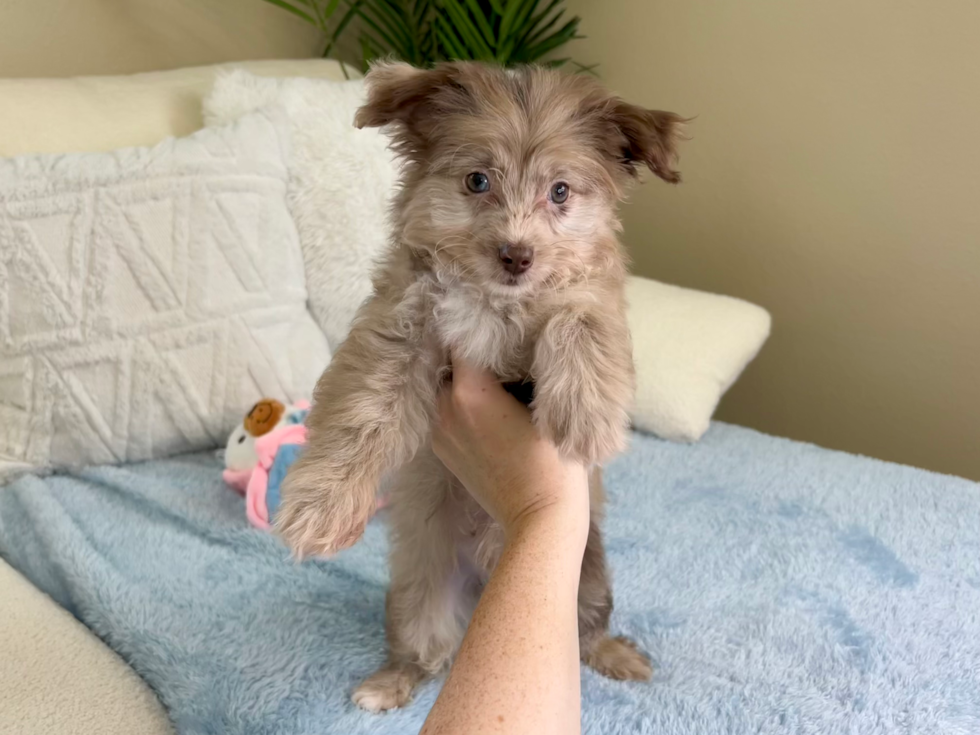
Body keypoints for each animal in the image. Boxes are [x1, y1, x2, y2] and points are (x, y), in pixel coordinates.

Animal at [280, 63, 684, 712]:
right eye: (477, 180)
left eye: (560, 192)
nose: (516, 255)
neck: (496, 302)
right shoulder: (403, 325)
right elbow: (365, 410)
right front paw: (321, 508)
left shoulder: (589, 293)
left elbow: (579, 317)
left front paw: (586, 417)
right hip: (420, 595)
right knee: (425, 649)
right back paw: (387, 683)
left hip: (586, 575)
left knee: (585, 633)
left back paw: (617, 656)